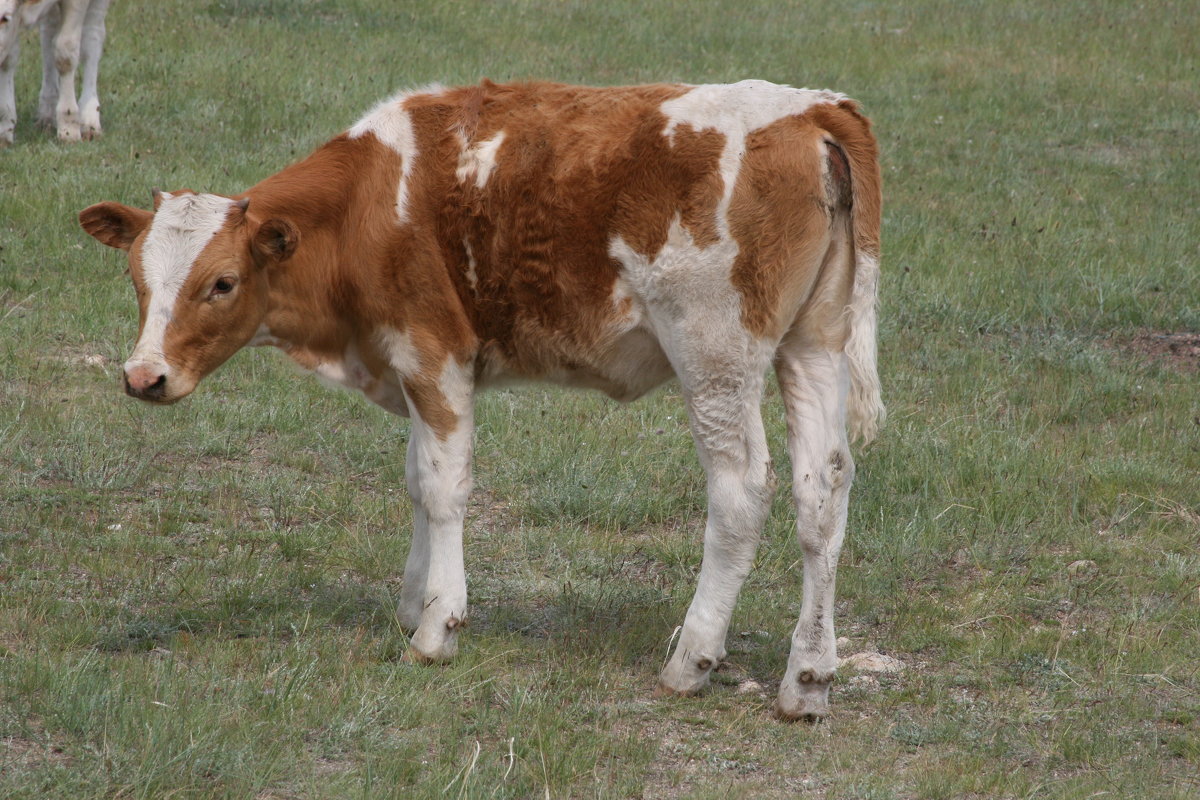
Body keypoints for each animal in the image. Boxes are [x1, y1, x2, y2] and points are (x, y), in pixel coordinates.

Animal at [0, 0, 112, 143]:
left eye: (5, 18)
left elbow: (66, 52)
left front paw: (69, 129)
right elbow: (8, 59)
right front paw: (5, 128)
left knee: (93, 34)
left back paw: (89, 121)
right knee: (49, 30)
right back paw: (47, 113)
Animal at [77, 81, 883, 719]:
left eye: (222, 282)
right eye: (137, 279)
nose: (144, 376)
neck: (370, 202)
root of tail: (810, 108)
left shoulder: (435, 353)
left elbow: (443, 486)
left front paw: (437, 628)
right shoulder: (409, 366)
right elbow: (415, 477)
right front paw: (411, 603)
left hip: (714, 353)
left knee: (741, 491)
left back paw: (693, 658)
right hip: (813, 344)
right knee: (823, 492)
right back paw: (808, 678)